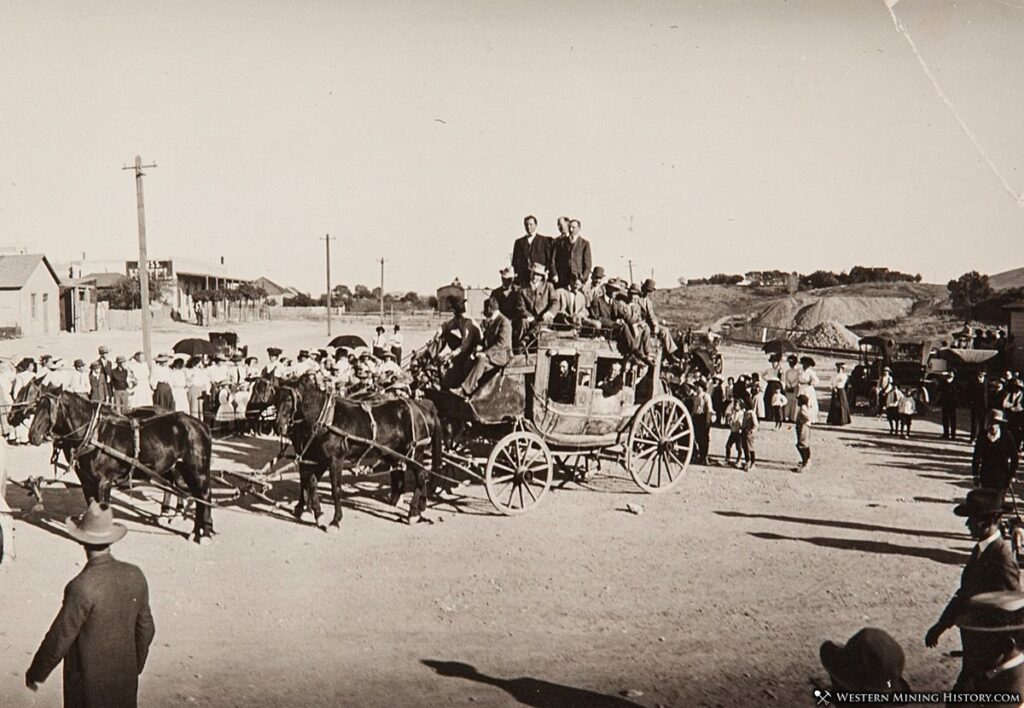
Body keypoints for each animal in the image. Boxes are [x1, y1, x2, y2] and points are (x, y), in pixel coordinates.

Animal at [28, 391, 216, 545]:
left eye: (48, 408)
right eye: (37, 406)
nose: (32, 435)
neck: (95, 435)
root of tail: (202, 425)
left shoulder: (104, 481)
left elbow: (102, 506)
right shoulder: (86, 480)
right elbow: (91, 504)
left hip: (197, 470)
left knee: (204, 495)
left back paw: (204, 533)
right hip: (181, 467)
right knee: (192, 495)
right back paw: (193, 529)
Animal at [276, 372, 444, 528]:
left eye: (289, 399)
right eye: (277, 396)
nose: (278, 426)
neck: (327, 419)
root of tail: (425, 408)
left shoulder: (336, 459)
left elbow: (335, 489)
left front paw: (335, 521)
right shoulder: (320, 458)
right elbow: (311, 482)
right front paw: (317, 514)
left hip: (415, 453)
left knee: (421, 477)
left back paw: (413, 513)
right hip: (396, 453)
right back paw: (418, 507)